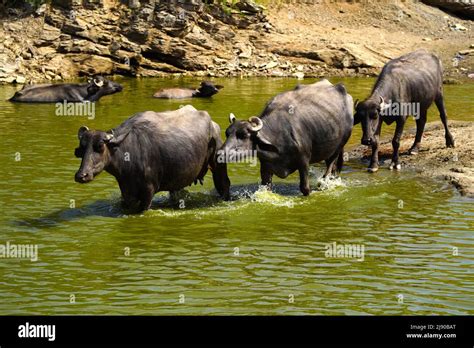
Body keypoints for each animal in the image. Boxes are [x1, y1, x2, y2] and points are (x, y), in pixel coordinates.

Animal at [73, 104, 231, 212]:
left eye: (100, 146)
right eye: (82, 147)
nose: (82, 175)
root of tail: (213, 124)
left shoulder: (148, 190)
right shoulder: (126, 191)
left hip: (218, 165)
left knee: (224, 185)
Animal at [220, 80, 354, 197]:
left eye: (243, 135)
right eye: (227, 133)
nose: (221, 153)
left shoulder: (304, 162)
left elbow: (305, 188)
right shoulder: (266, 166)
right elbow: (265, 188)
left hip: (338, 147)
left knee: (329, 167)